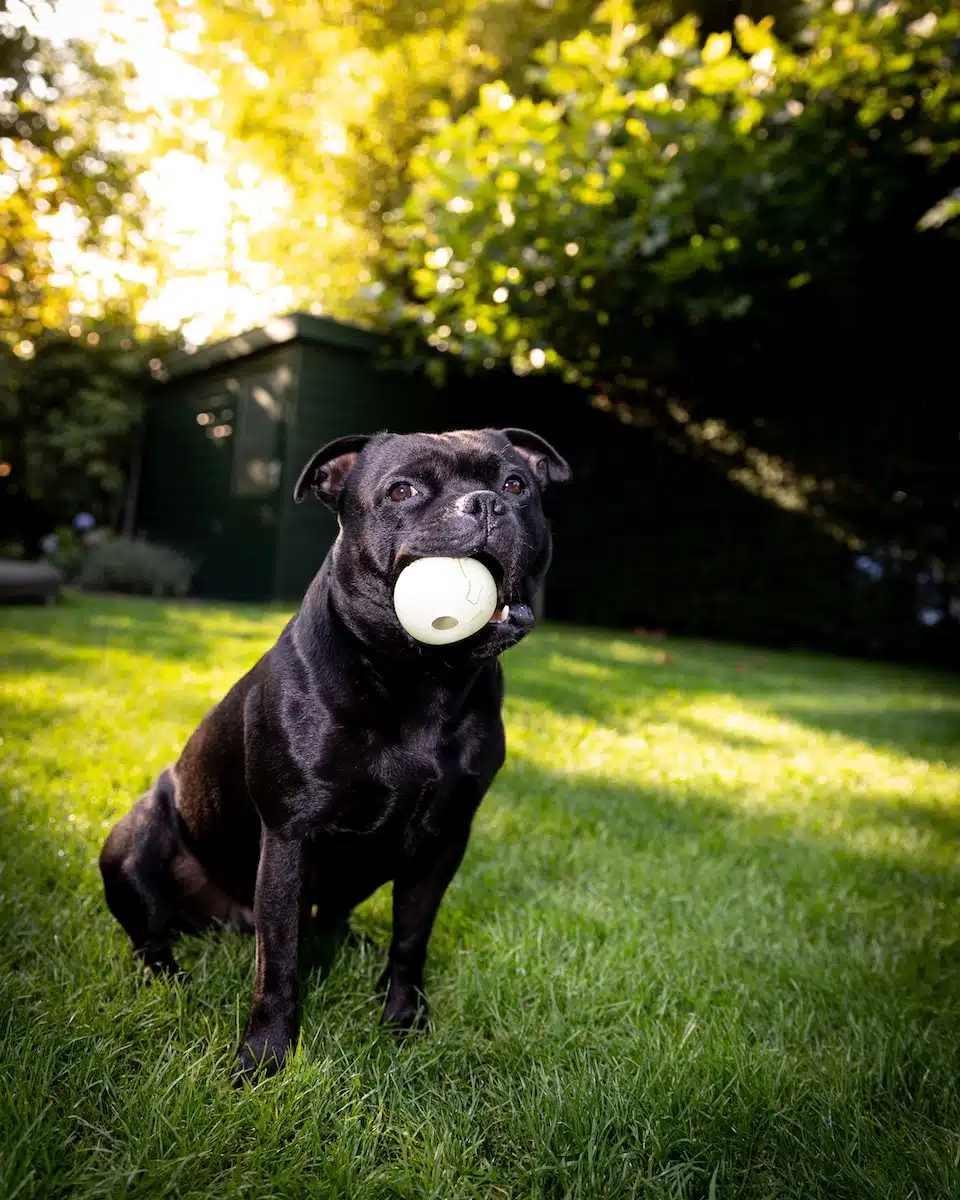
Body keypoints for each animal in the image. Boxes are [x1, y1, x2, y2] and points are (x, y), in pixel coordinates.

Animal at [101, 429, 571, 1080]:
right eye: (402, 491)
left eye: (515, 484)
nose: (483, 504)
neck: (423, 681)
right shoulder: (289, 837)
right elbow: (277, 965)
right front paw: (264, 1059)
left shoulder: (442, 843)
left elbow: (411, 939)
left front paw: (403, 1021)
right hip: (133, 845)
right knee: (152, 933)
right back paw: (170, 979)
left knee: (331, 921)